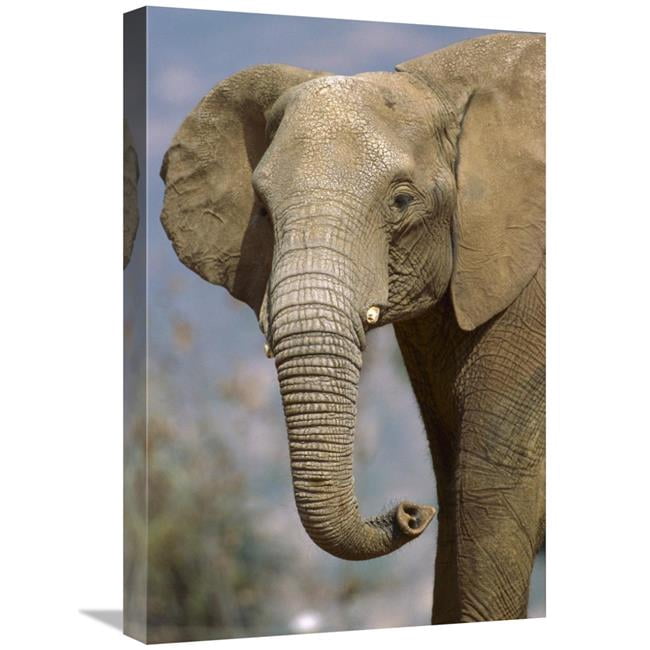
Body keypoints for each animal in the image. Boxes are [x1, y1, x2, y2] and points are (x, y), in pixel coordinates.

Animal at [159, 33, 545, 623]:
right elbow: (456, 482)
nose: (411, 512)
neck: (446, 85)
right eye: (262, 210)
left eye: (402, 201)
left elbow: (488, 488)